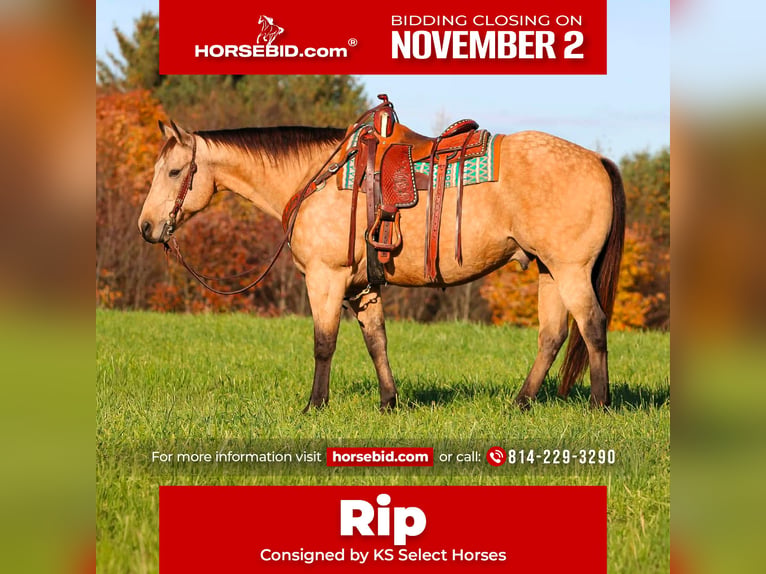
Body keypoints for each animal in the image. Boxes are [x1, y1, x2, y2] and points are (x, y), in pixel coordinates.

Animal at [138, 111, 625, 413]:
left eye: (175, 172)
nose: (146, 227)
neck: (315, 178)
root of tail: (597, 159)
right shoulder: (362, 287)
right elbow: (377, 342)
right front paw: (389, 402)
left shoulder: (326, 279)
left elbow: (324, 342)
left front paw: (314, 405)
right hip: (549, 270)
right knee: (552, 336)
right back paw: (520, 403)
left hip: (571, 270)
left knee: (592, 327)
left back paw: (599, 405)